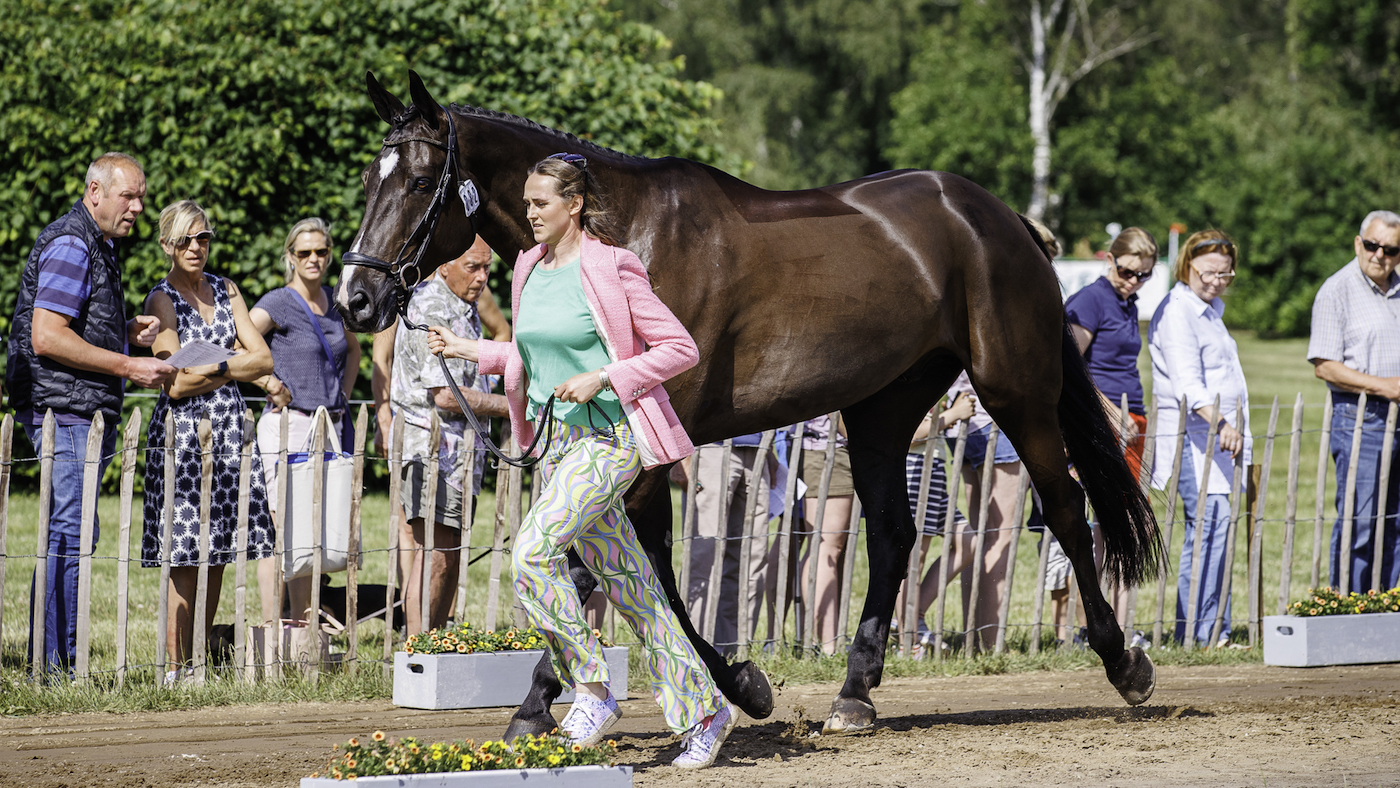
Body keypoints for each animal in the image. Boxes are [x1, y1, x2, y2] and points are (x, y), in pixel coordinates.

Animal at [334, 70, 1162, 737]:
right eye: (368, 180)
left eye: (417, 184)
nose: (357, 297)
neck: (625, 230)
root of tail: (1002, 219)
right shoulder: (641, 454)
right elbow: (643, 568)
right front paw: (740, 683)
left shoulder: (642, 448)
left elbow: (607, 568)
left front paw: (543, 703)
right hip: (883, 409)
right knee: (895, 535)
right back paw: (855, 693)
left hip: (1016, 390)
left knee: (1065, 509)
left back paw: (1124, 663)